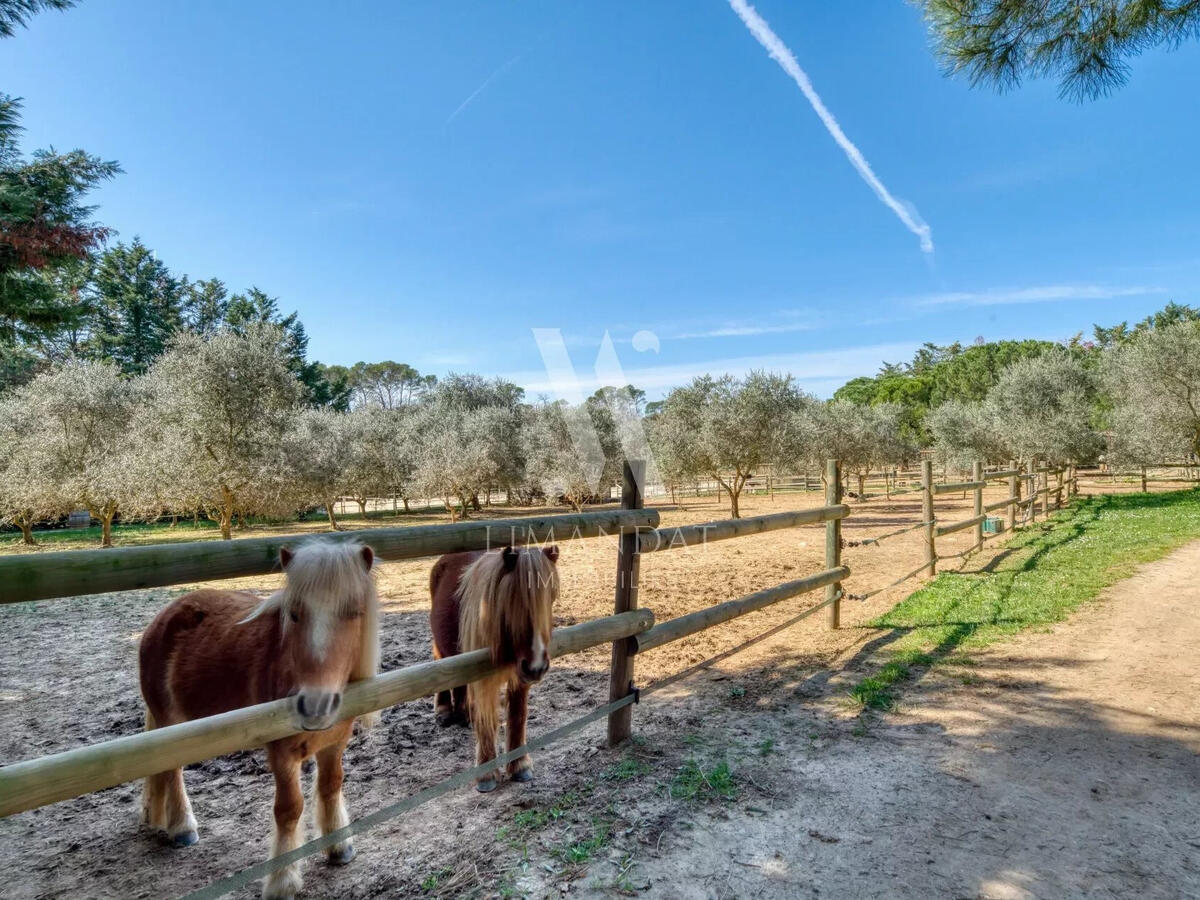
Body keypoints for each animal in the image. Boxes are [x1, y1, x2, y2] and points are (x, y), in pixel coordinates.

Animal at [140, 542, 384, 900]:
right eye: (294, 614)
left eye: (354, 611)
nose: (314, 705)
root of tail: (164, 616)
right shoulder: (281, 754)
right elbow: (289, 809)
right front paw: (282, 880)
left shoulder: (335, 744)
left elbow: (330, 786)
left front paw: (339, 848)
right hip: (172, 726)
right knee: (173, 771)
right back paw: (183, 828)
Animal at [429, 542, 559, 787]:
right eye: (513, 600)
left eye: (551, 597)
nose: (537, 666)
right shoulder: (482, 676)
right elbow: (485, 719)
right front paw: (486, 774)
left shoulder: (520, 675)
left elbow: (518, 715)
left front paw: (520, 766)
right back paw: (444, 709)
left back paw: (462, 714)